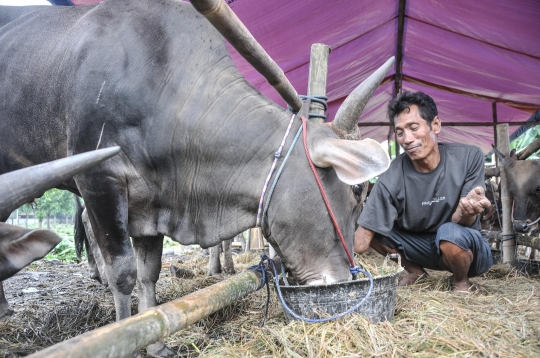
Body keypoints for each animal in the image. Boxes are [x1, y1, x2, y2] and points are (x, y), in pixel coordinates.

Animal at [0, 1, 388, 356]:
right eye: (357, 191)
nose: (347, 278)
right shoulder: (99, 180)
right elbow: (123, 274)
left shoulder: (151, 204)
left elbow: (149, 273)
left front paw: (155, 343)